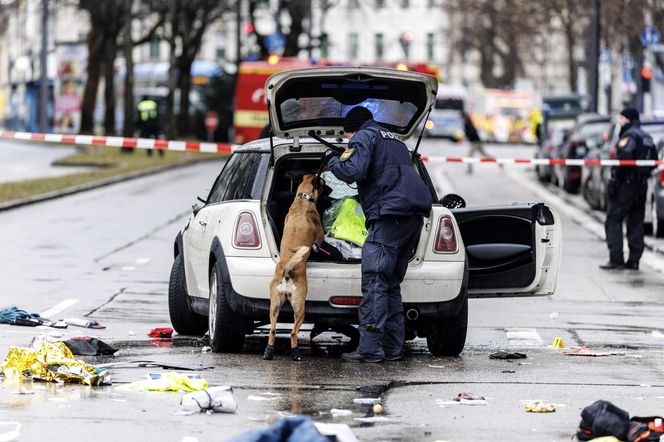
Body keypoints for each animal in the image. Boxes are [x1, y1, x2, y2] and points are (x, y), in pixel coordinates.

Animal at [266, 174, 326, 360]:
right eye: (324, 184)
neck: (303, 200)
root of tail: (287, 269)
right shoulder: (320, 235)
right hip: (300, 309)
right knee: (293, 332)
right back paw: (295, 354)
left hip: (274, 306)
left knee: (272, 330)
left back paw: (268, 352)